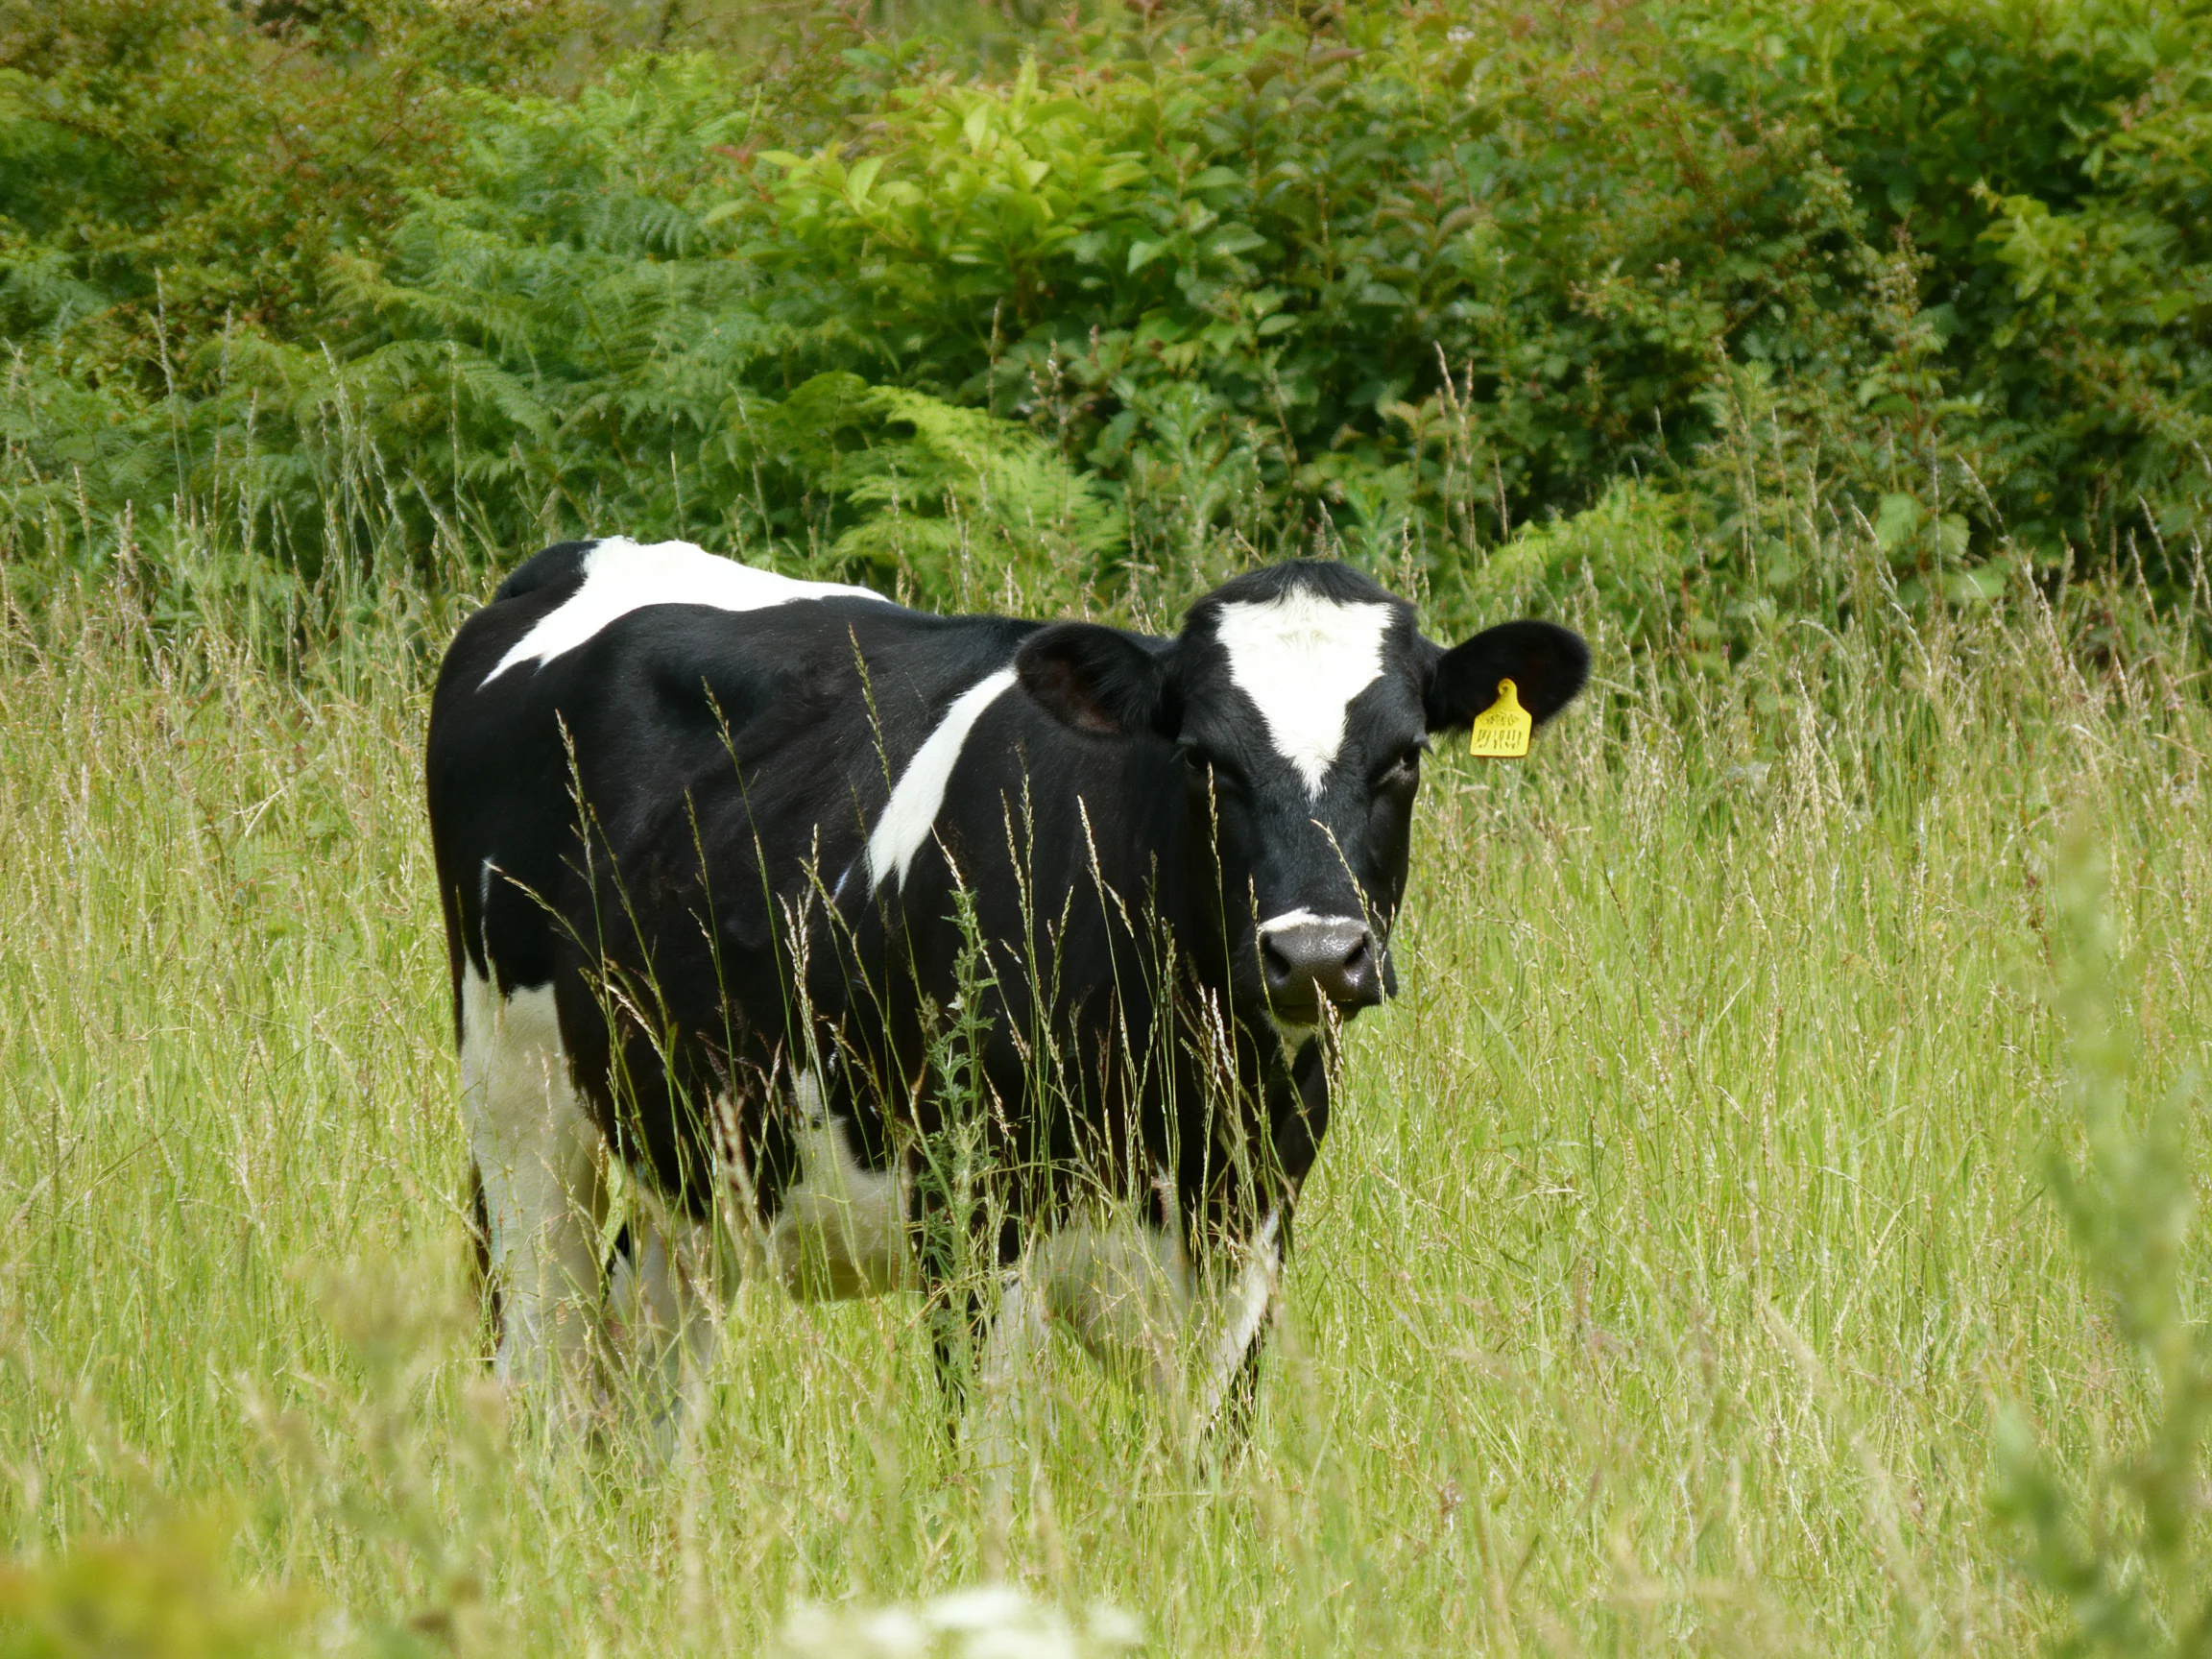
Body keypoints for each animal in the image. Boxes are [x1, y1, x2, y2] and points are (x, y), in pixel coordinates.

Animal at [426, 537, 1587, 1455]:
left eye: (1405, 759)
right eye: (1203, 759)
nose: (1314, 955)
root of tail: (566, 560)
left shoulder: (1250, 1237)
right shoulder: (973, 1218)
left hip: (710, 1160)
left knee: (649, 1357)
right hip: (518, 1103)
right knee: (541, 1354)